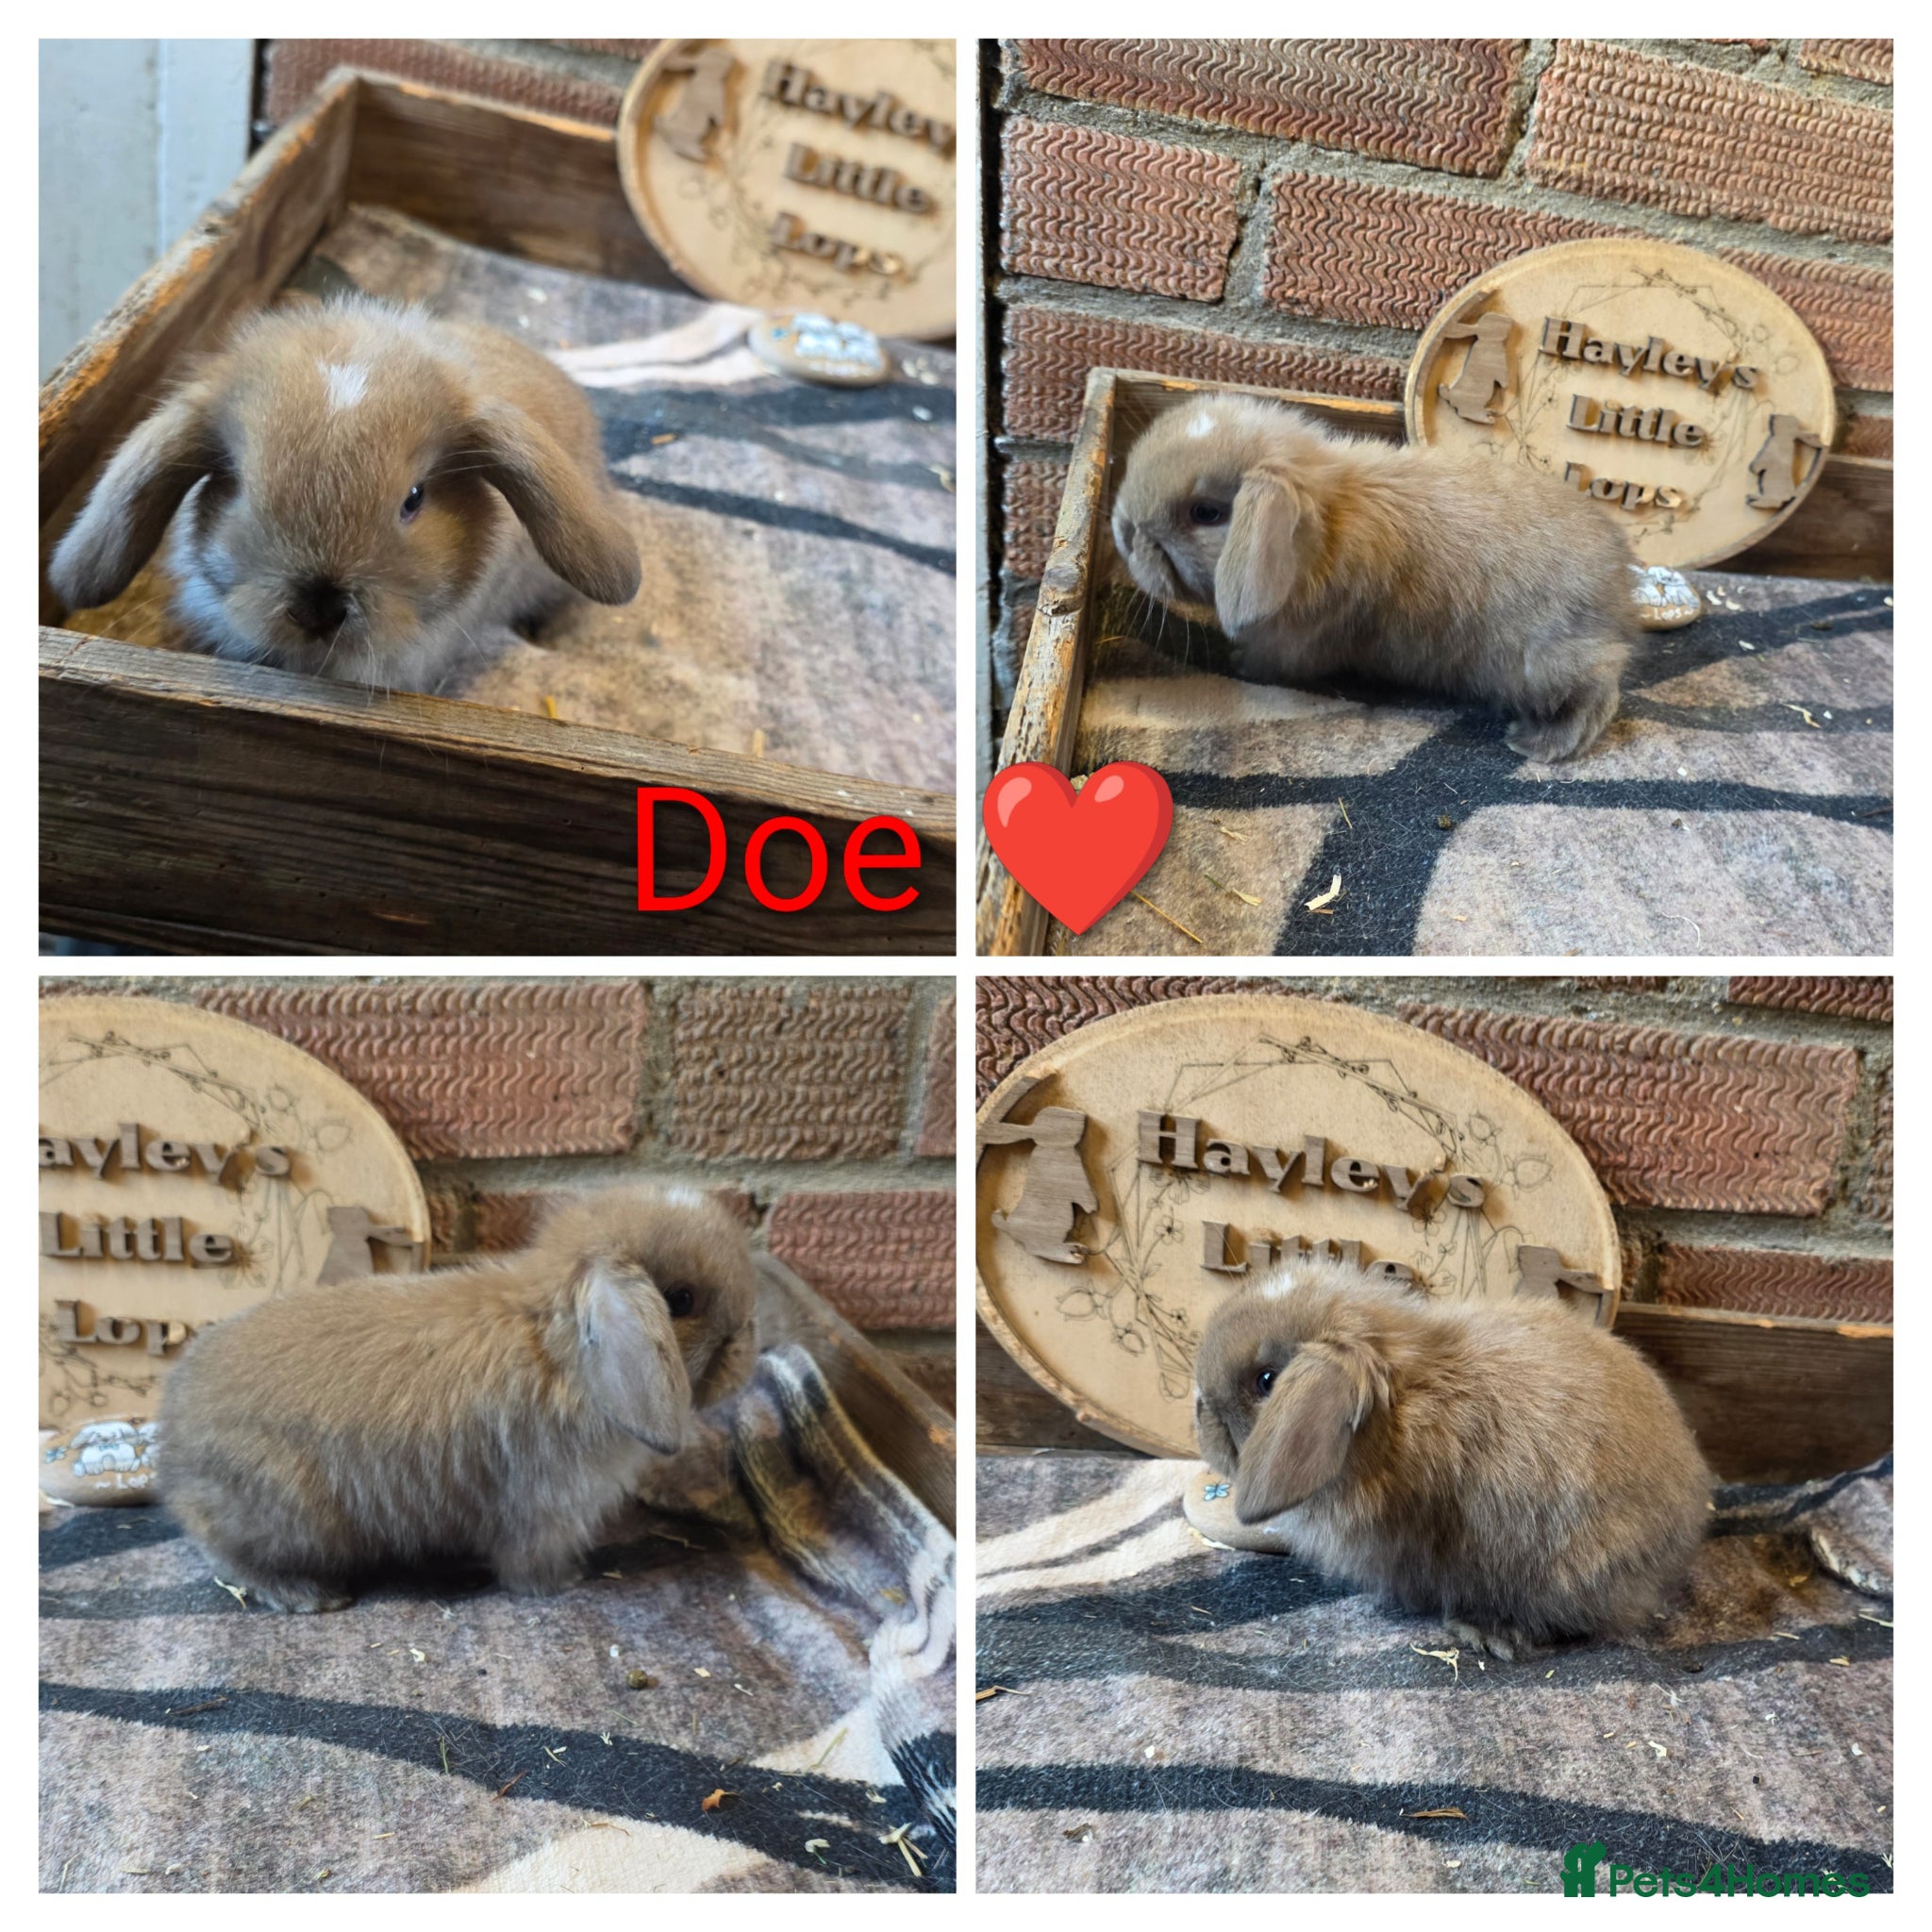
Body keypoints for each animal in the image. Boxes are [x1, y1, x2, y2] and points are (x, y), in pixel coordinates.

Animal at [157, 1186, 759, 1612]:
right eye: (681, 1300)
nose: (748, 1344)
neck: (557, 1349)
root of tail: (172, 1442)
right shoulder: (545, 1508)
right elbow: (529, 1563)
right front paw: (562, 1583)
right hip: (287, 1516)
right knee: (236, 1560)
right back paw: (310, 1596)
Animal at [1110, 395, 1639, 761]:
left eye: (1206, 512)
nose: (1123, 530)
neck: (1321, 530)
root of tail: (1620, 585)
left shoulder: (1295, 644)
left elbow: (1269, 665)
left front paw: (1237, 662)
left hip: (1544, 665)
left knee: (1602, 687)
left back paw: (1538, 743)